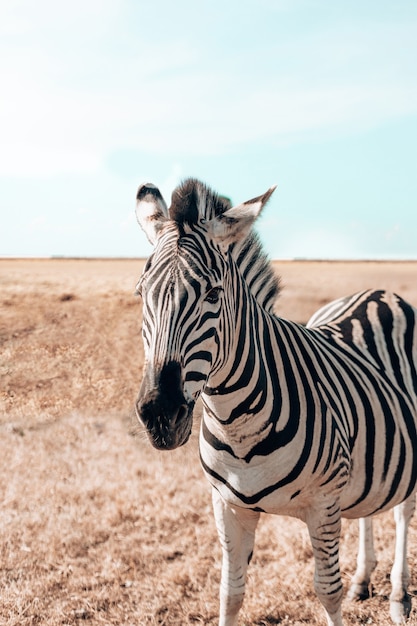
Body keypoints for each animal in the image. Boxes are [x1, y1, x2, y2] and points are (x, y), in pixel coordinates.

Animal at [134, 177, 416, 624]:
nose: (160, 415)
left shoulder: (323, 504)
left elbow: (327, 591)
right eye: (141, 293)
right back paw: (363, 579)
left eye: (213, 294)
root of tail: (378, 292)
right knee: (370, 508)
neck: (236, 423)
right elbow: (229, 593)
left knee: (404, 510)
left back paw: (399, 593)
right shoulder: (228, 505)